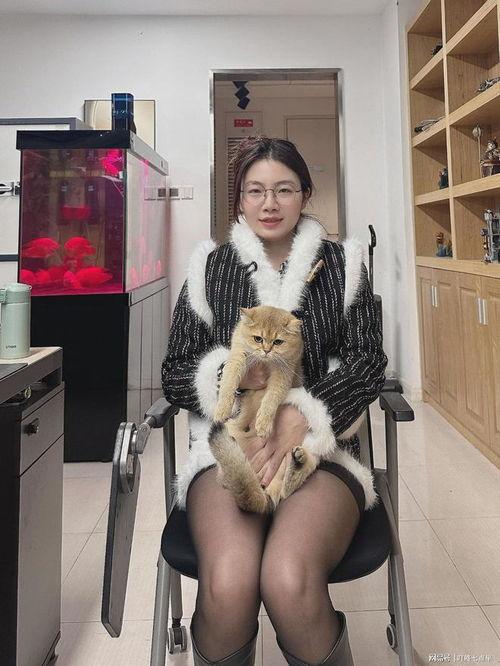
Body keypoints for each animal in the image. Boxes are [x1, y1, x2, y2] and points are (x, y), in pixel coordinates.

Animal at [210, 305, 318, 513]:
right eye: (258, 338)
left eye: (278, 342)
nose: (266, 351)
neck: (266, 362)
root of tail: (264, 490)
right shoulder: (237, 357)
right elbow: (228, 382)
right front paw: (222, 409)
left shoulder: (282, 374)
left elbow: (271, 399)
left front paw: (263, 424)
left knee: (287, 488)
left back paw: (298, 462)